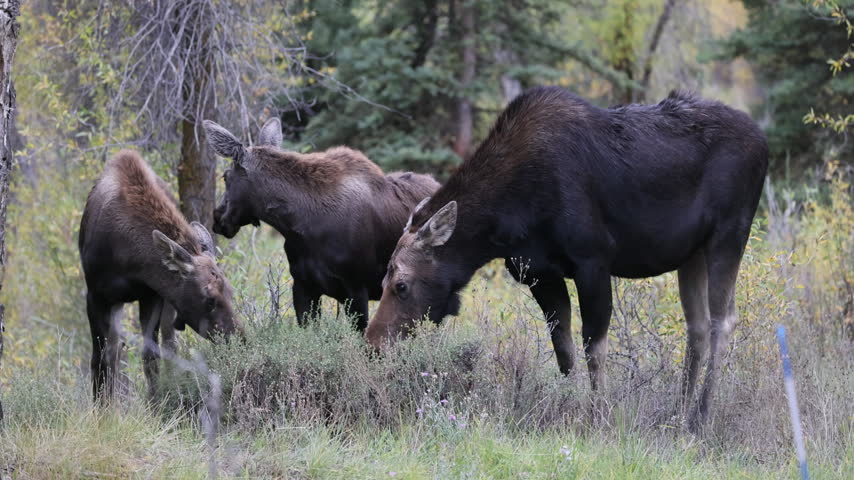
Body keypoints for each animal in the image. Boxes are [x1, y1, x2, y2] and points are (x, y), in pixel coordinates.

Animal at [79, 150, 241, 401]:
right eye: (209, 299)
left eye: (230, 292)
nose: (239, 338)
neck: (127, 260)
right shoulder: (96, 295)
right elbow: (100, 358)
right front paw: (101, 407)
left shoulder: (152, 294)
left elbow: (150, 355)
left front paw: (156, 403)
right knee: (114, 352)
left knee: (169, 344)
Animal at [365, 87, 768, 430]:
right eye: (381, 281)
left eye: (401, 284)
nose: (373, 346)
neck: (506, 215)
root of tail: (764, 142)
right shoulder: (541, 274)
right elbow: (563, 349)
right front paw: (568, 410)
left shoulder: (593, 261)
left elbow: (594, 345)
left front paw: (598, 416)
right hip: (691, 253)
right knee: (696, 325)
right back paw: (678, 412)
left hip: (728, 234)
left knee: (722, 320)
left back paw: (701, 416)